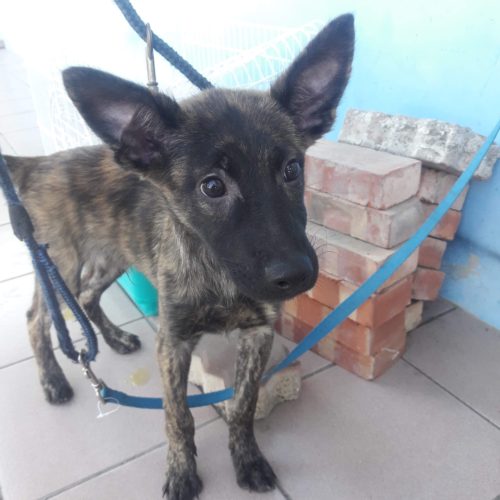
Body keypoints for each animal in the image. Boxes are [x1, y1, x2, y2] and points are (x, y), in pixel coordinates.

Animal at [4, 13, 354, 499]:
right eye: (212, 186)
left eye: (292, 170)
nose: (298, 275)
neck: (219, 276)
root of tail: (37, 164)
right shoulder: (172, 343)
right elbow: (178, 416)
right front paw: (182, 471)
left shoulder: (258, 334)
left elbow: (243, 404)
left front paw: (247, 458)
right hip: (62, 264)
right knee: (37, 317)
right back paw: (53, 380)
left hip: (113, 255)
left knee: (90, 297)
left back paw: (115, 339)